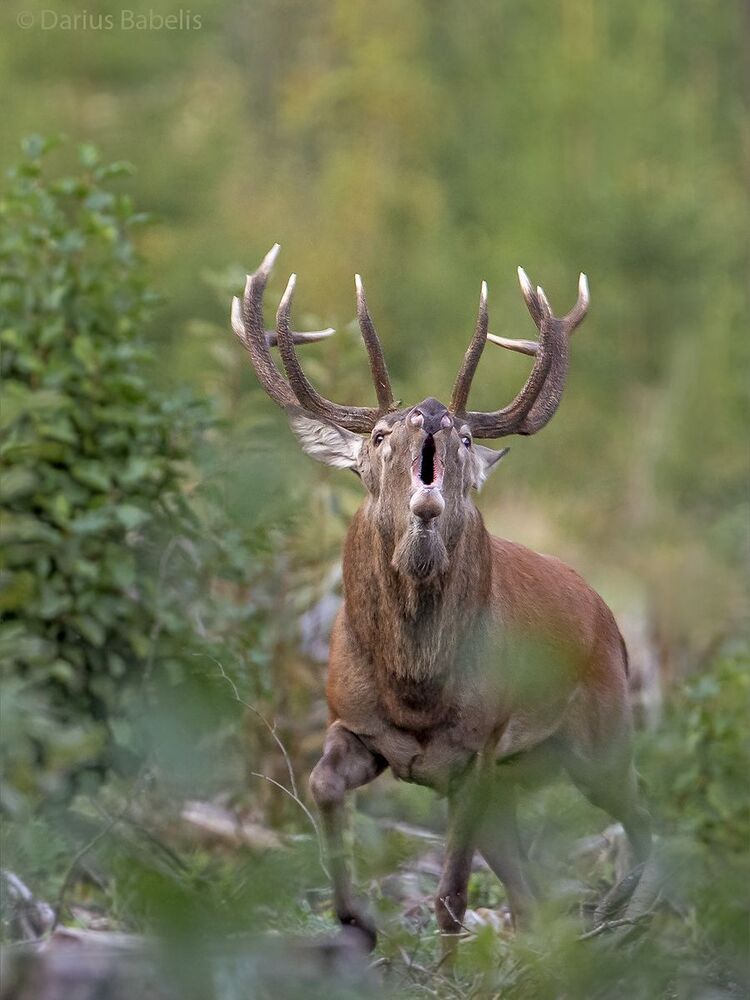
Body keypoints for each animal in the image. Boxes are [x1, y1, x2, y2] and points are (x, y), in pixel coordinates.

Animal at [230, 244, 652, 951]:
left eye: (464, 438)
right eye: (379, 436)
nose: (429, 411)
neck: (415, 691)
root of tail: (610, 620)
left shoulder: (479, 750)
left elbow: (451, 894)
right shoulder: (354, 723)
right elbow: (319, 784)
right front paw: (355, 918)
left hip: (601, 735)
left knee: (643, 819)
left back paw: (614, 914)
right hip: (524, 776)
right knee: (532, 893)